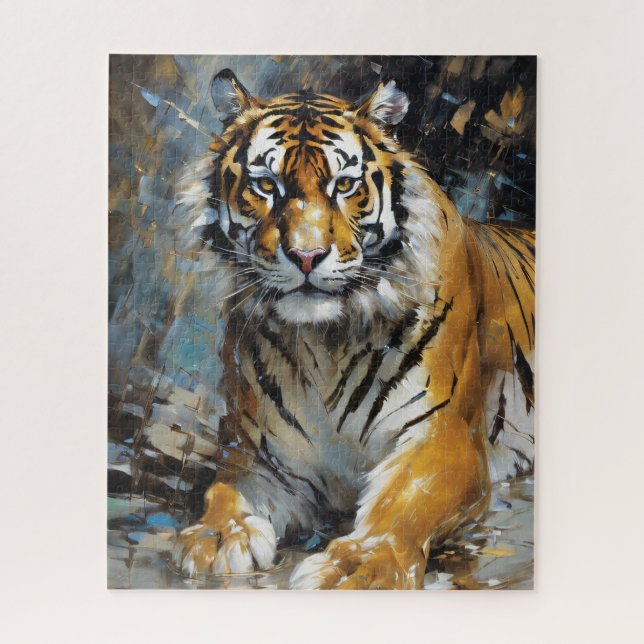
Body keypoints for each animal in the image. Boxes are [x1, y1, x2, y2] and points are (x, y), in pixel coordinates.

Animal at [171, 69, 535, 589]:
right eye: (266, 185)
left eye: (344, 184)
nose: (305, 256)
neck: (324, 342)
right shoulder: (258, 450)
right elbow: (226, 490)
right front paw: (217, 536)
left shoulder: (444, 438)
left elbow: (403, 504)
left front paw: (360, 565)